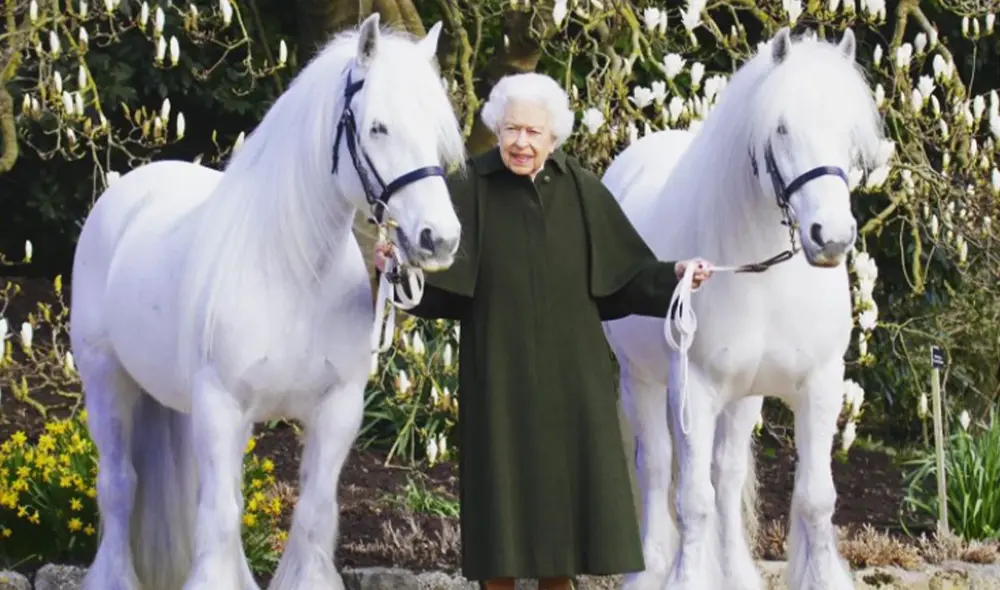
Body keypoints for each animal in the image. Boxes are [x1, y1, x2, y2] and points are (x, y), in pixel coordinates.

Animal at [68, 14, 466, 590]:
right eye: (378, 127)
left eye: (437, 132)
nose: (440, 239)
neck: (294, 274)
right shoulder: (221, 406)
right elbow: (219, 517)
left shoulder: (336, 410)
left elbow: (312, 514)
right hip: (106, 381)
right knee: (120, 485)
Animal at [601, 28, 886, 590]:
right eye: (781, 127)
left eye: (848, 130)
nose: (832, 237)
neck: (766, 278)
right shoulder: (694, 389)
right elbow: (692, 501)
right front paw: (685, 577)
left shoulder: (819, 384)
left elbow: (815, 499)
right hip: (640, 379)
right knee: (658, 468)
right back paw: (651, 569)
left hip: (743, 397)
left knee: (727, 475)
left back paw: (735, 571)